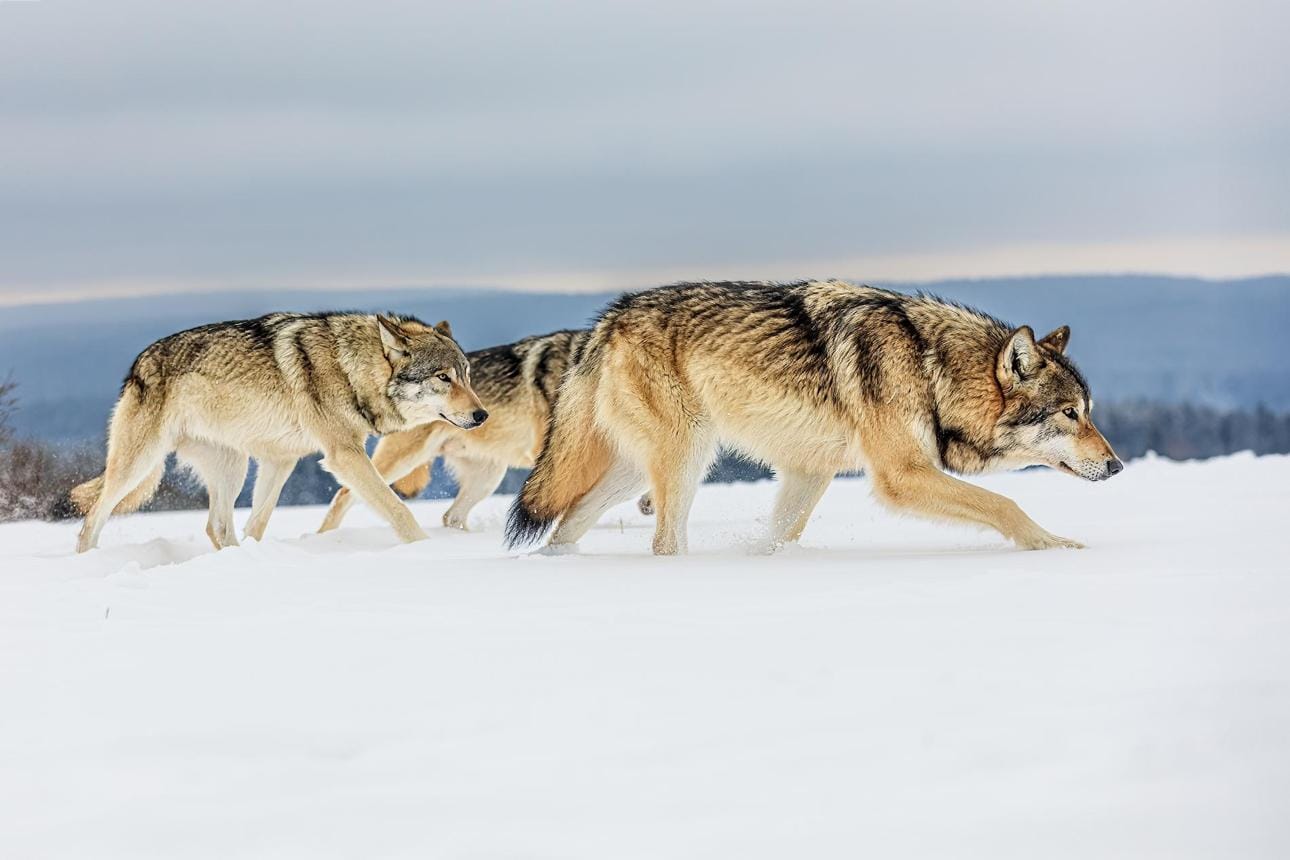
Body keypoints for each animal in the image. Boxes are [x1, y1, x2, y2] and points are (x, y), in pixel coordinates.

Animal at [69, 312, 487, 553]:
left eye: (466, 375)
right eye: (443, 378)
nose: (482, 415)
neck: (352, 369)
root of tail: (138, 363)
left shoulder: (280, 459)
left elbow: (258, 523)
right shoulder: (345, 456)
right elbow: (398, 508)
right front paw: (427, 552)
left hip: (234, 467)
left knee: (217, 526)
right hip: (138, 464)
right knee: (91, 520)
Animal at [506, 280, 1122, 555]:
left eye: (1089, 413)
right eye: (1070, 413)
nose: (1117, 466)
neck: (931, 366)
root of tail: (608, 318)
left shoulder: (811, 471)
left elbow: (781, 535)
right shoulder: (902, 475)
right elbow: (1005, 503)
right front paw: (1053, 546)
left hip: (635, 471)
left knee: (566, 522)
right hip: (686, 459)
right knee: (663, 542)